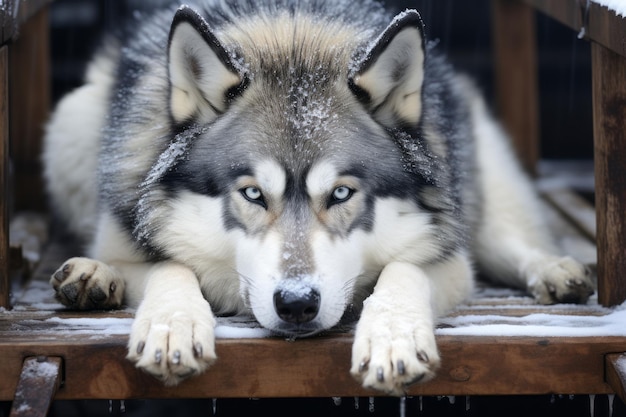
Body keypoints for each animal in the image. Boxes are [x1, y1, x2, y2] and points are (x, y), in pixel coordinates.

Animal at [44, 0, 588, 394]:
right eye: (254, 194)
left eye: (341, 193)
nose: (297, 304)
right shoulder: (127, 236)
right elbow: (169, 265)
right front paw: (170, 326)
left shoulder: (450, 262)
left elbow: (403, 269)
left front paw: (392, 340)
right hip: (71, 120)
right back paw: (93, 278)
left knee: (515, 243)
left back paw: (557, 272)